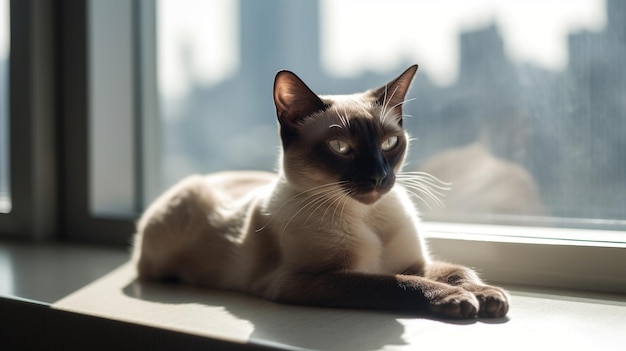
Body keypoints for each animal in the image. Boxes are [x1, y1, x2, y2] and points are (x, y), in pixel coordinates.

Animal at [132, 65, 508, 320]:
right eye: (341, 148)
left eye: (389, 143)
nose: (379, 177)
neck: (368, 217)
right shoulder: (311, 280)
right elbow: (393, 283)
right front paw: (457, 300)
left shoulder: (416, 263)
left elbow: (459, 272)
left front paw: (488, 296)